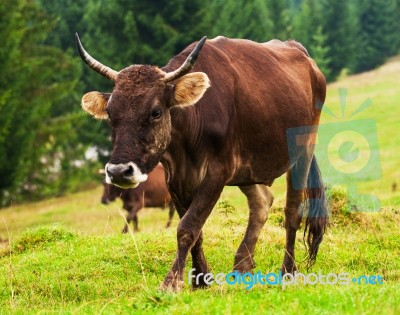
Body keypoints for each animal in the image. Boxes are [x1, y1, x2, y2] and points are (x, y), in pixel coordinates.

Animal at [76, 33, 328, 292]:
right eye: (110, 114)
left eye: (155, 112)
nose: (118, 171)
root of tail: (300, 52)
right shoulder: (175, 177)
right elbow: (195, 228)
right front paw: (200, 279)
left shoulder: (218, 173)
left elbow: (187, 227)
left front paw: (171, 282)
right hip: (248, 168)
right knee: (261, 203)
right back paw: (242, 266)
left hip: (303, 149)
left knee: (292, 212)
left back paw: (288, 271)